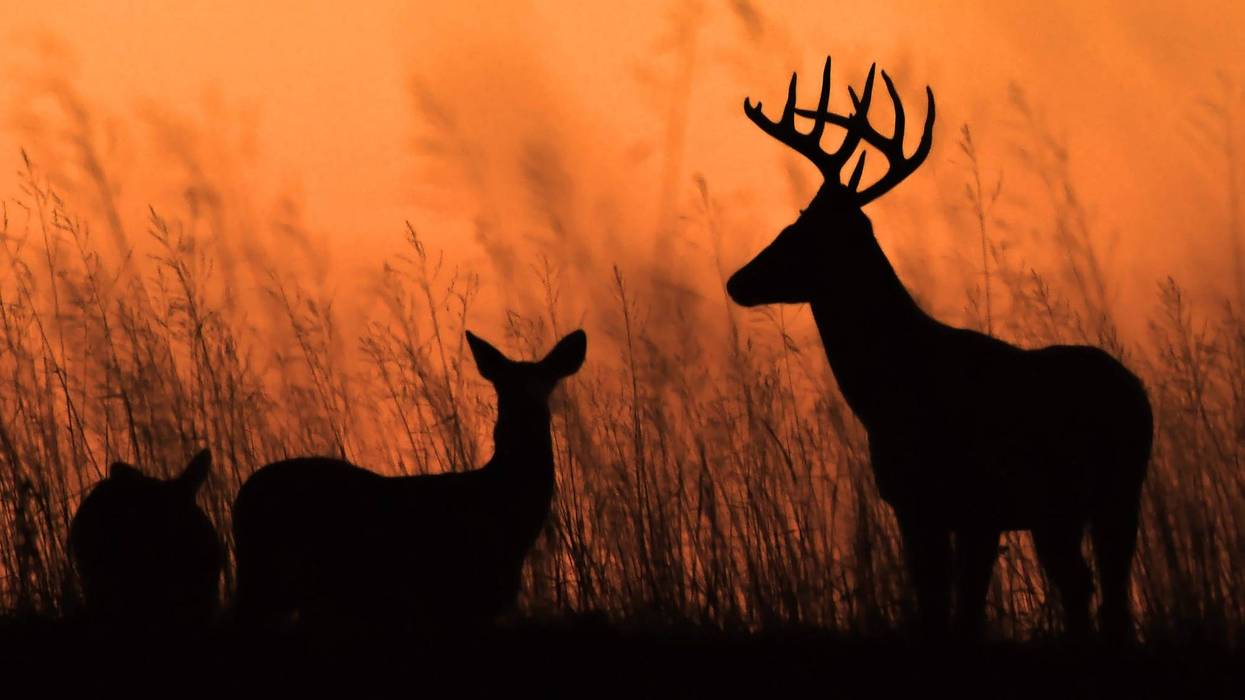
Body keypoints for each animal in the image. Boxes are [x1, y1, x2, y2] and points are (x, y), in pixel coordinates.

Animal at [232, 329, 587, 633]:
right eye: (505, 388)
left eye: (547, 383)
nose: (529, 417)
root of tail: (242, 497)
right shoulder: (460, 597)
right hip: (269, 579)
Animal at [726, 57, 1153, 641]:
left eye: (802, 229)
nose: (737, 281)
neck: (894, 394)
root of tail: (1138, 391)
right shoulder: (915, 507)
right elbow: (933, 607)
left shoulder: (978, 507)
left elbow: (963, 614)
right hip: (1061, 513)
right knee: (1083, 588)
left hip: (1118, 493)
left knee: (1106, 594)